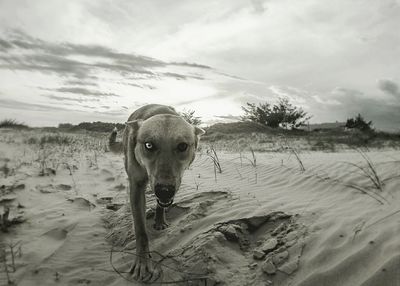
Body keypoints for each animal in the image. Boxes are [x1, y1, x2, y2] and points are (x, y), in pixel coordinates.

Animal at [108, 104, 205, 280]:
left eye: (182, 146)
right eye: (149, 145)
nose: (164, 191)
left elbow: (160, 206)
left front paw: (160, 220)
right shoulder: (137, 186)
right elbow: (140, 231)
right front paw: (142, 262)